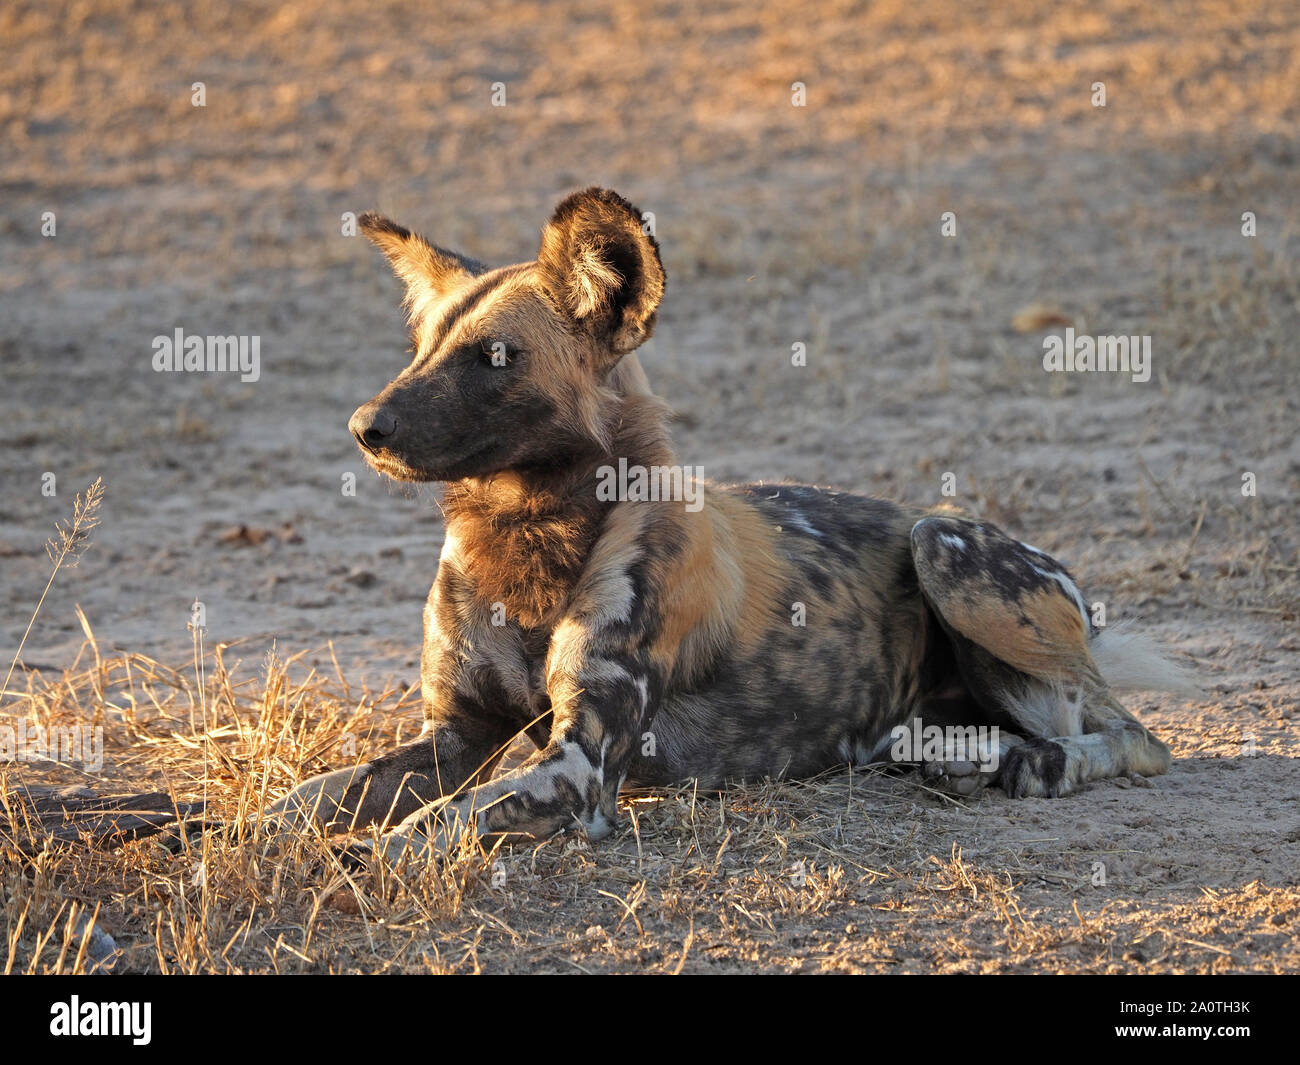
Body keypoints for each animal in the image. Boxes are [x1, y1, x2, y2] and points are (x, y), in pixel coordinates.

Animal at [270, 188, 1190, 862]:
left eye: (494, 357)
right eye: (422, 347)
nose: (364, 426)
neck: (525, 535)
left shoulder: (578, 768)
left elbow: (433, 822)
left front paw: (351, 858)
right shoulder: (452, 735)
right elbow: (306, 799)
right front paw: (243, 834)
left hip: (948, 549)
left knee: (1132, 735)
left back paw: (1034, 764)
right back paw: (958, 756)